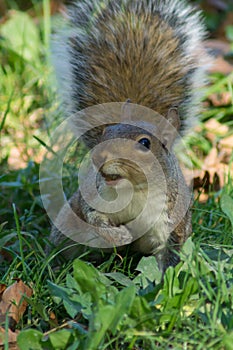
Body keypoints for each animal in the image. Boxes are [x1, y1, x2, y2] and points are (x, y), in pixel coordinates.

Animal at [47, 0, 209, 272]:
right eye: (106, 132)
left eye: (144, 143)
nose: (99, 157)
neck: (134, 192)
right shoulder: (94, 202)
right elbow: (97, 221)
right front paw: (120, 235)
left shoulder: (170, 222)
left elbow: (168, 257)